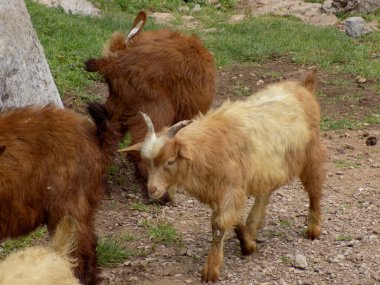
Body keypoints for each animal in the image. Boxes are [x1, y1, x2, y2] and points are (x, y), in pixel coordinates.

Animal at [121, 69, 326, 282]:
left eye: (170, 161)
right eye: (147, 161)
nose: (152, 189)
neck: (207, 148)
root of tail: (305, 87)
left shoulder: (230, 189)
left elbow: (218, 226)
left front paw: (211, 270)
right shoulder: (219, 192)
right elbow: (233, 221)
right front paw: (248, 244)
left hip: (311, 155)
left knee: (315, 190)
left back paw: (313, 229)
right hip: (267, 168)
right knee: (264, 194)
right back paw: (253, 224)